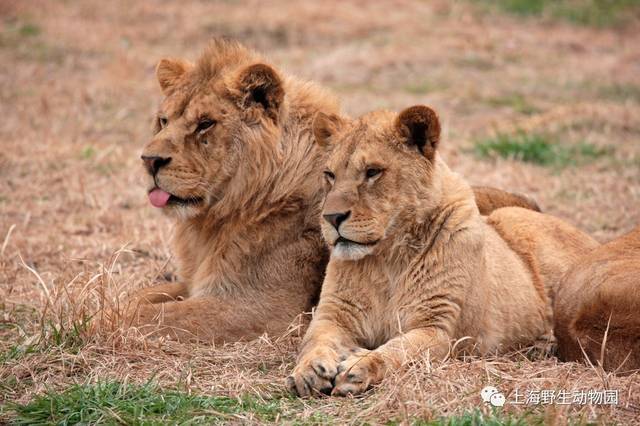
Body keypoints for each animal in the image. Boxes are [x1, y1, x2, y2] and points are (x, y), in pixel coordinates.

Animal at [132, 40, 544, 344]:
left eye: (205, 124)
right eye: (163, 121)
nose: (149, 160)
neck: (218, 218)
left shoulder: (258, 308)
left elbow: (137, 314)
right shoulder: (198, 285)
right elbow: (136, 296)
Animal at [288, 104, 596, 396]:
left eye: (372, 172)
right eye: (330, 175)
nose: (331, 218)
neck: (387, 257)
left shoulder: (439, 327)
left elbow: (396, 351)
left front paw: (358, 367)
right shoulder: (334, 314)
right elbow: (314, 341)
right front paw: (309, 371)